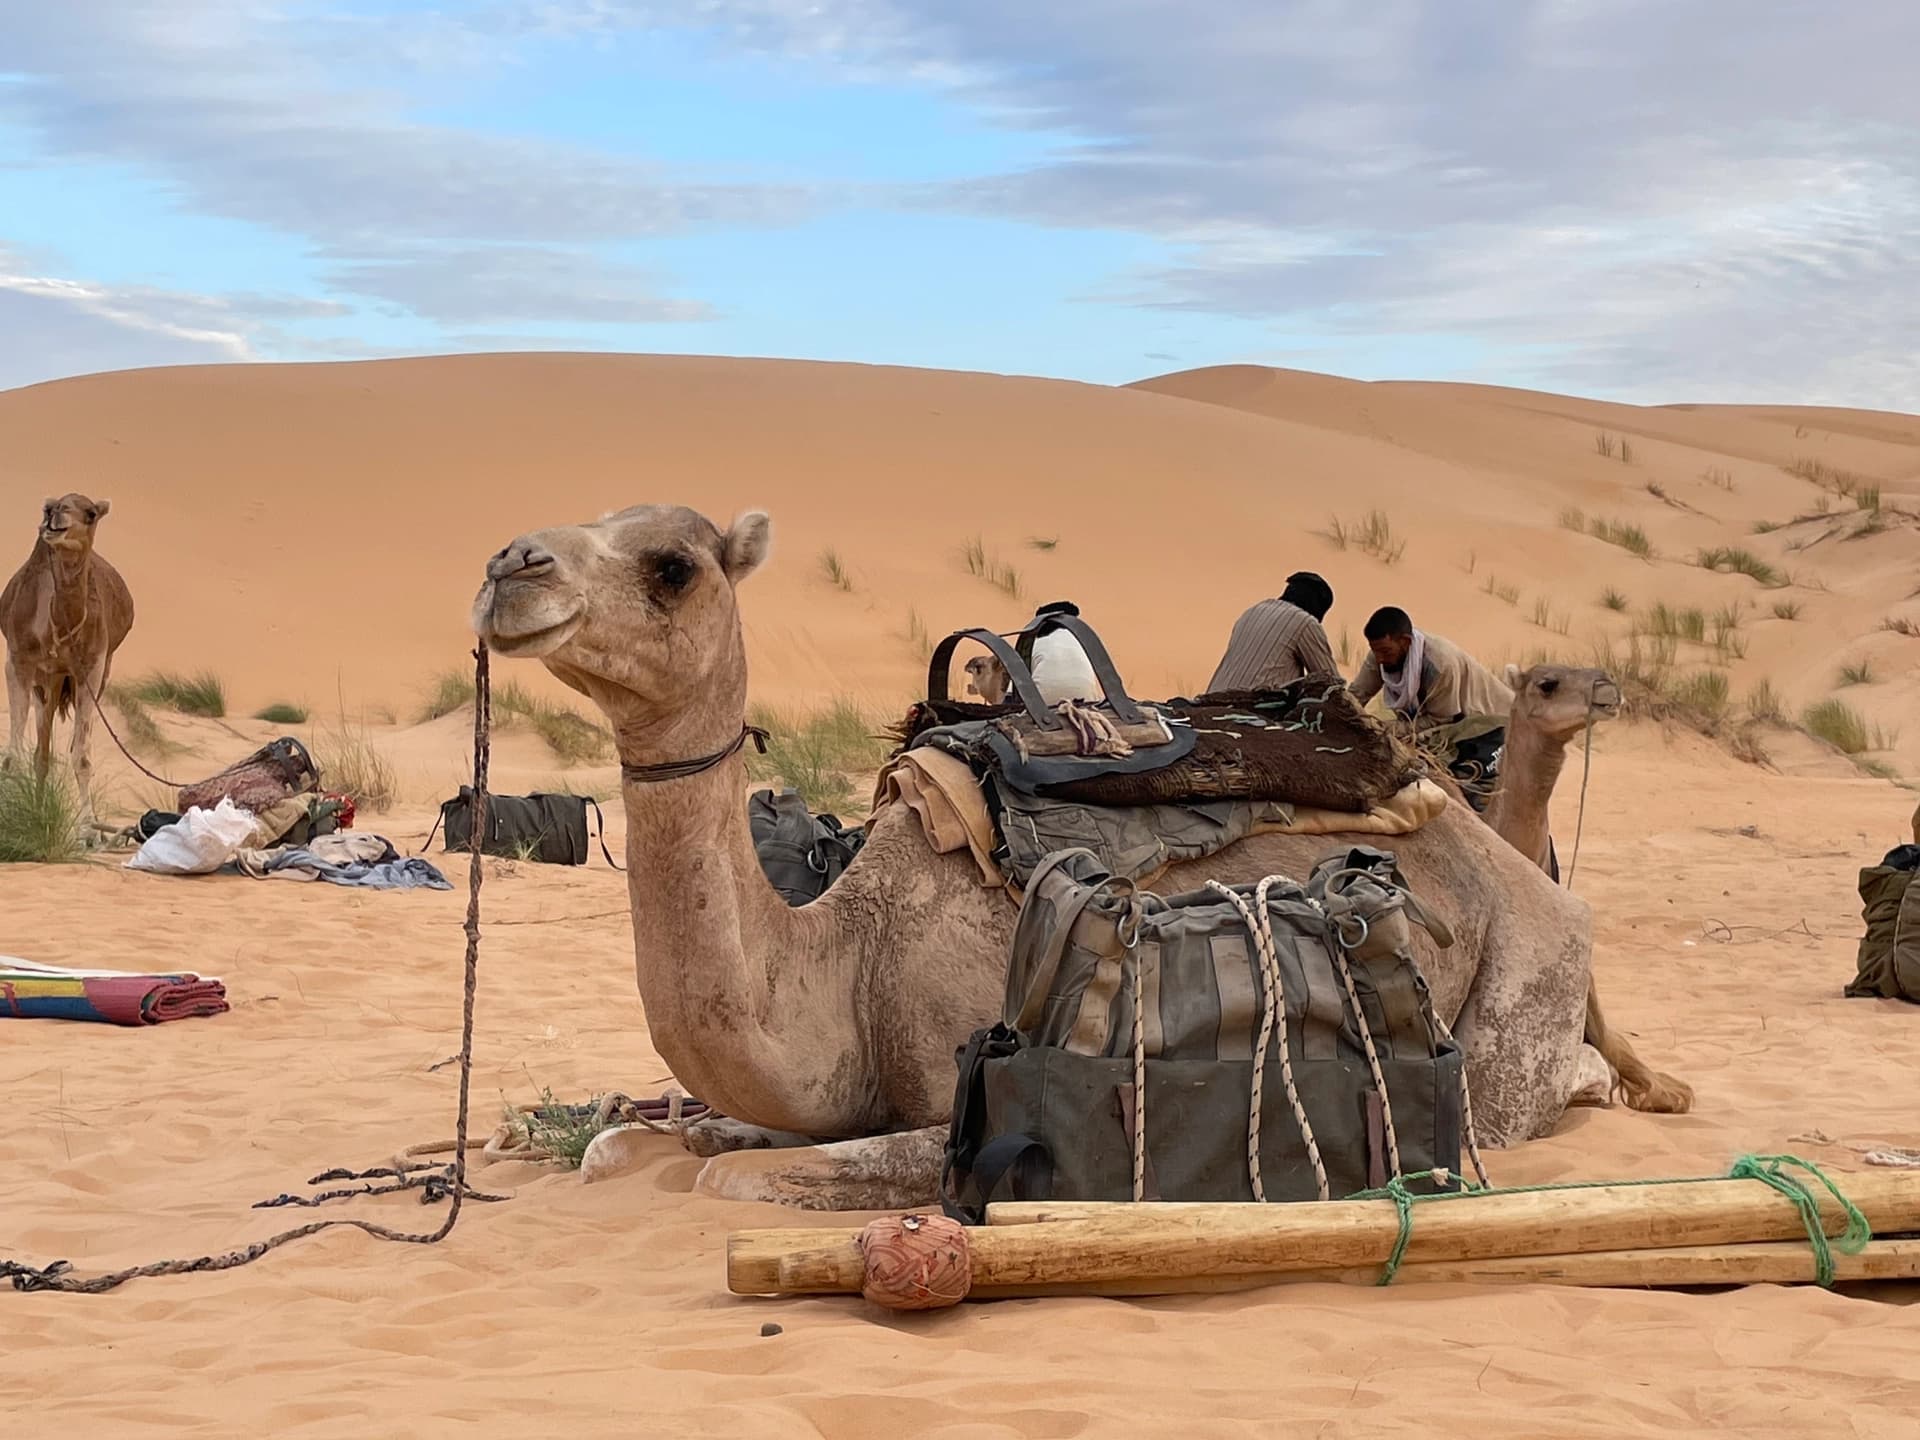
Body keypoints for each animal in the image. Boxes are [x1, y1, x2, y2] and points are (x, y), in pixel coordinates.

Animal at [2, 495, 134, 829]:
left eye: (91, 513)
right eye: (51, 505)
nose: (53, 514)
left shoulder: (92, 667)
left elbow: (82, 756)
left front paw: (89, 829)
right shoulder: (17, 661)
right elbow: (12, 754)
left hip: (82, 676)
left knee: (53, 749)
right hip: (45, 681)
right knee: (41, 750)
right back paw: (35, 809)